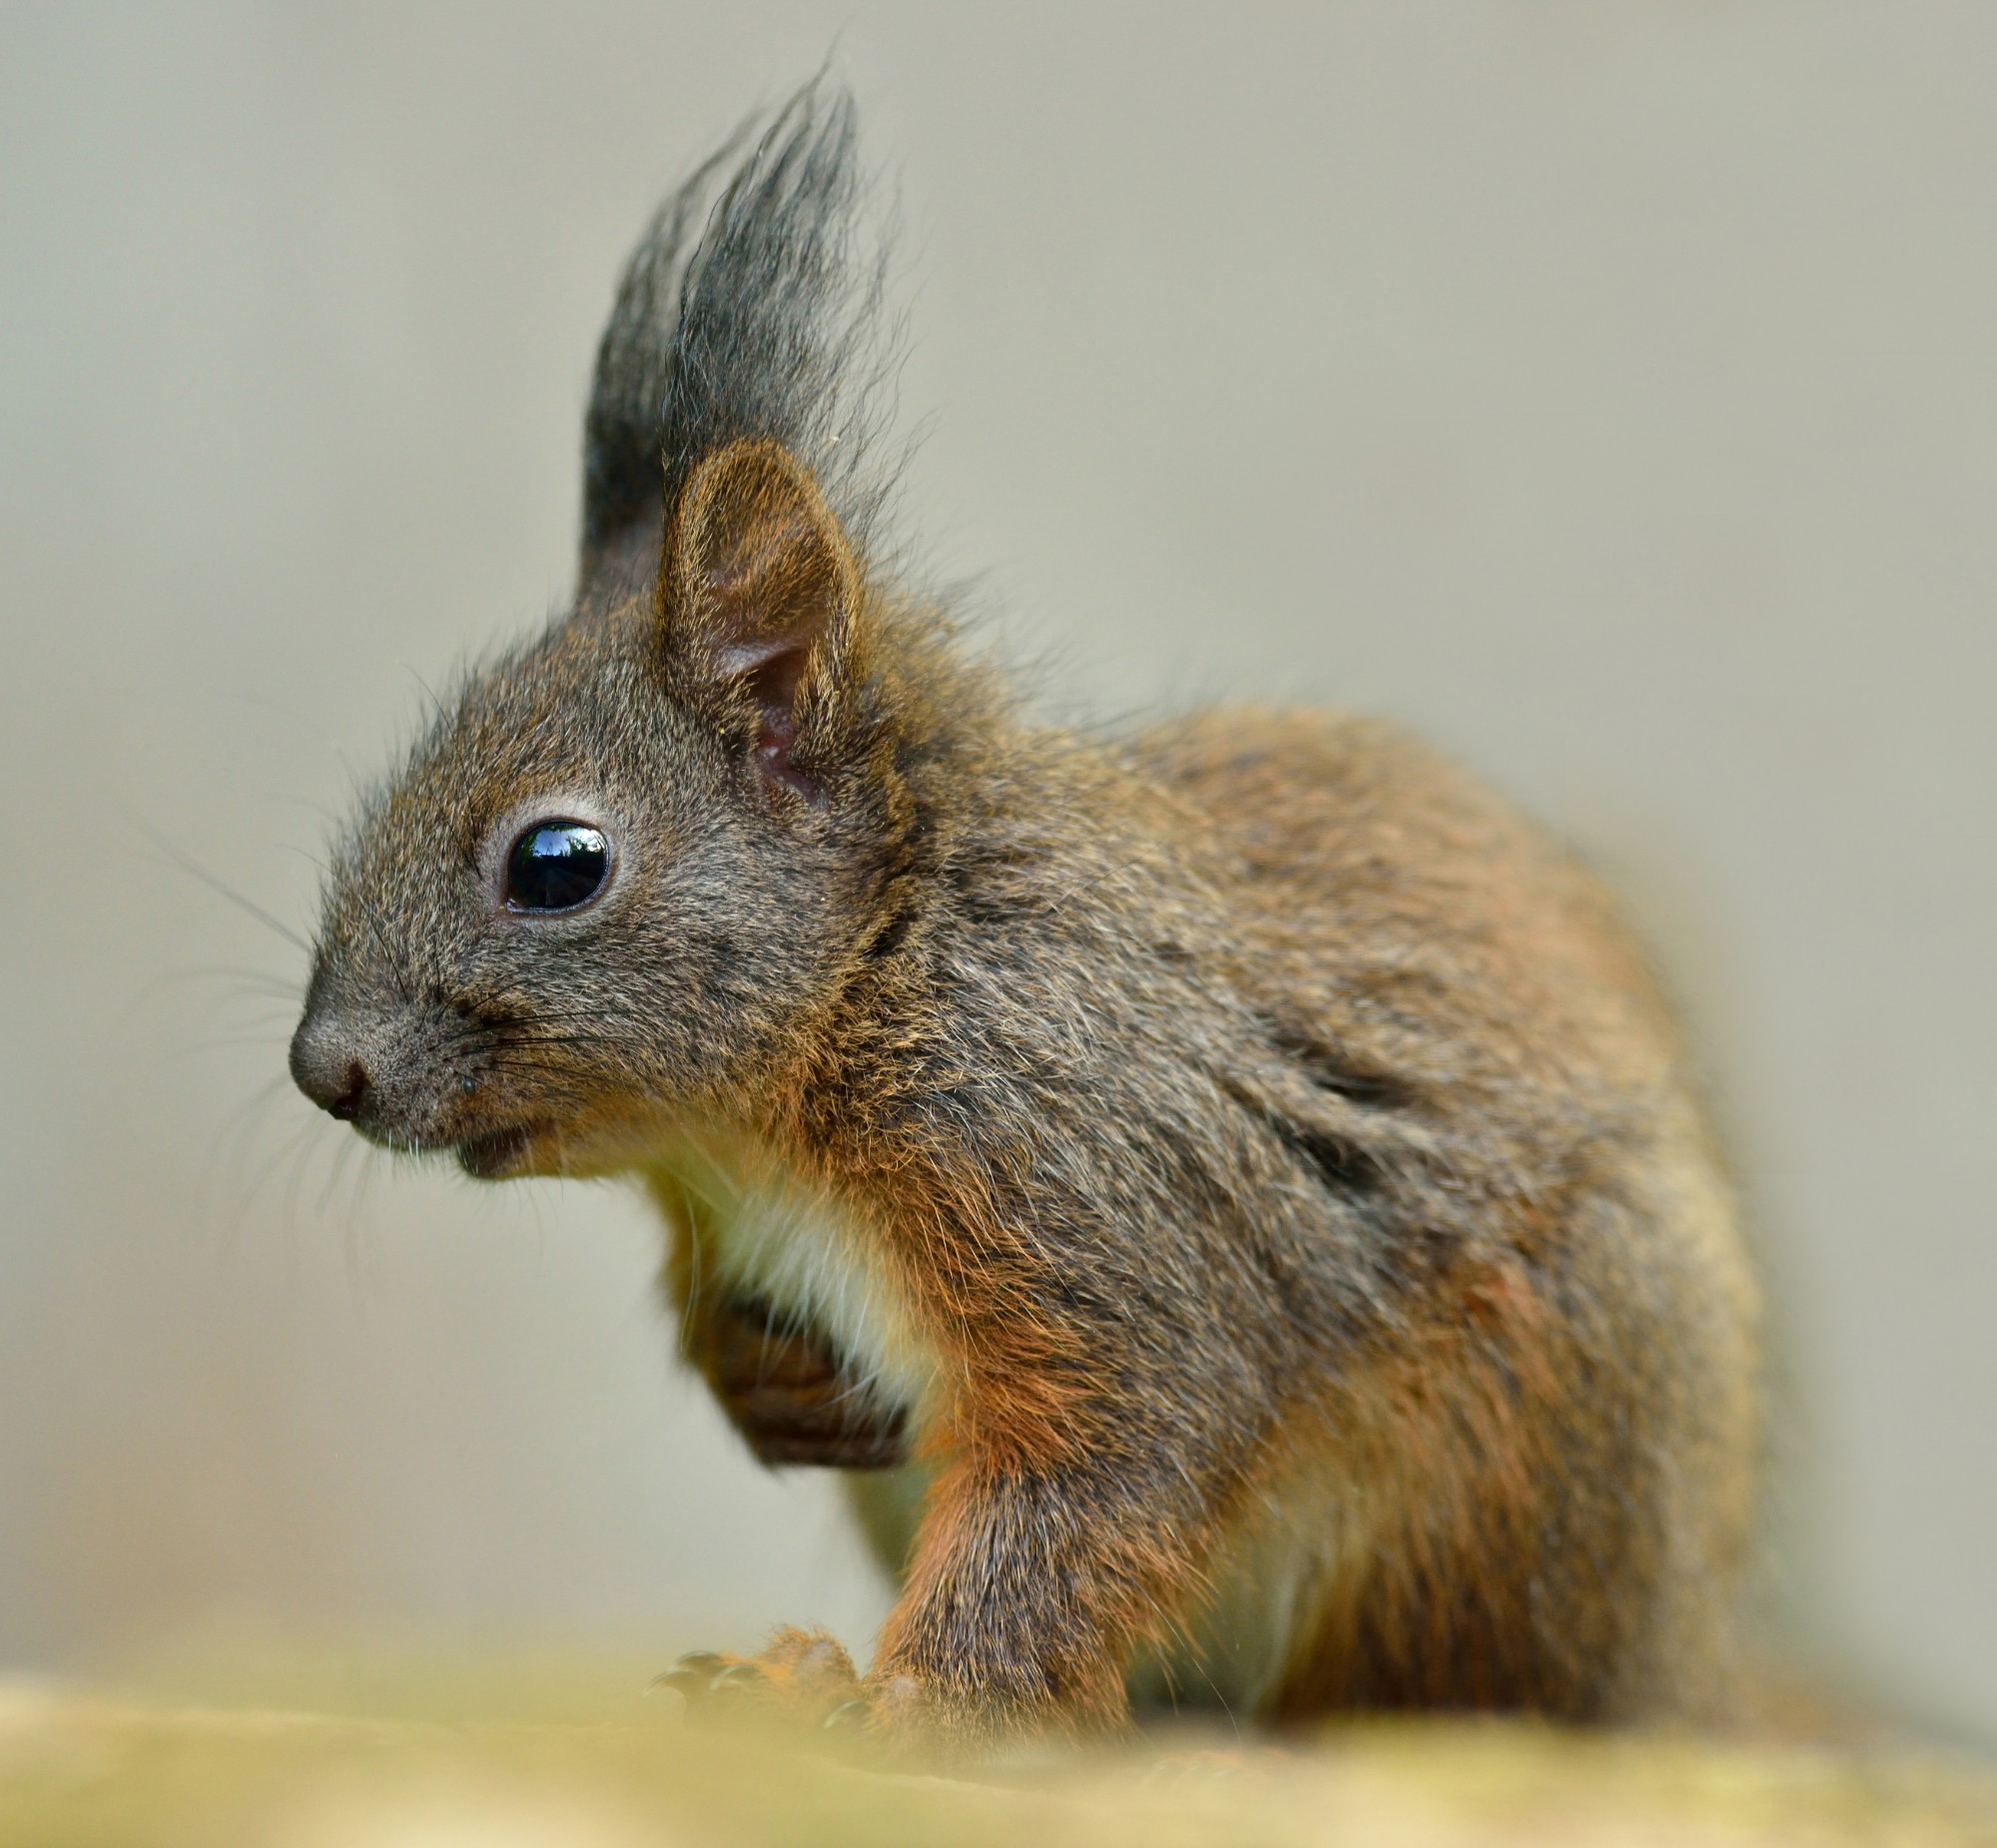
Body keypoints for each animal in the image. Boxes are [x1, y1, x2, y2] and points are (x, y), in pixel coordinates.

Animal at [288, 85, 1761, 1755]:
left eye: (556, 860)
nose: (324, 1067)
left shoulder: (1090, 1182)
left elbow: (1097, 1469)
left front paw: (910, 1701)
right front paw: (766, 1388)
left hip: (1541, 1427)